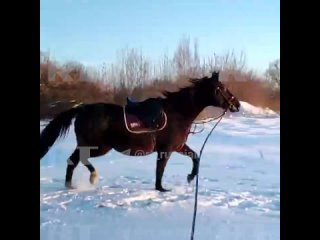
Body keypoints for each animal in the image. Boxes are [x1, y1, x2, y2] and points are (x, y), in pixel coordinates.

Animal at [39, 71, 240, 191]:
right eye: (222, 88)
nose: (236, 104)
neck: (177, 113)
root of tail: (82, 109)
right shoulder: (166, 149)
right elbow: (160, 170)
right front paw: (161, 189)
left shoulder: (178, 146)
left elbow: (195, 157)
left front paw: (190, 177)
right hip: (97, 147)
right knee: (78, 160)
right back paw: (92, 178)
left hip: (89, 145)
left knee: (72, 161)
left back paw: (70, 186)